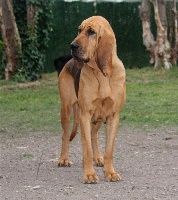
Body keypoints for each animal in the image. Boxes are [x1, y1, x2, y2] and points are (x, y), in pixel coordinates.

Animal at [57, 16, 126, 184]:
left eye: (91, 32)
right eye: (79, 30)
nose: (72, 46)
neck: (102, 73)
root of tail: (69, 62)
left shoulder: (113, 116)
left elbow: (109, 150)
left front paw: (110, 172)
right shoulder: (85, 114)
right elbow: (86, 148)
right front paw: (89, 175)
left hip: (98, 118)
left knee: (93, 136)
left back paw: (98, 158)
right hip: (66, 110)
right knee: (66, 135)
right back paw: (64, 159)